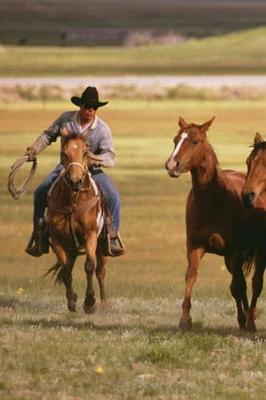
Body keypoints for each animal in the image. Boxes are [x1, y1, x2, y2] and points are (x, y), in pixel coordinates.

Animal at [46, 130, 107, 314]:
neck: (73, 201)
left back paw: (104, 303)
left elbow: (89, 266)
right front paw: (72, 301)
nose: (75, 181)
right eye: (64, 153)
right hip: (71, 247)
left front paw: (90, 302)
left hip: (102, 246)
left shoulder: (90, 235)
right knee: (69, 267)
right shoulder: (57, 241)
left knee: (100, 271)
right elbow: (66, 270)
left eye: (85, 152)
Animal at [165, 116, 255, 332]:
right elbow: (190, 277)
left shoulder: (235, 252)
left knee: (240, 283)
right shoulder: (195, 247)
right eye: (175, 140)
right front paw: (185, 320)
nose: (172, 165)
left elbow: (237, 286)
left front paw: (245, 321)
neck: (214, 201)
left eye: (195, 141)